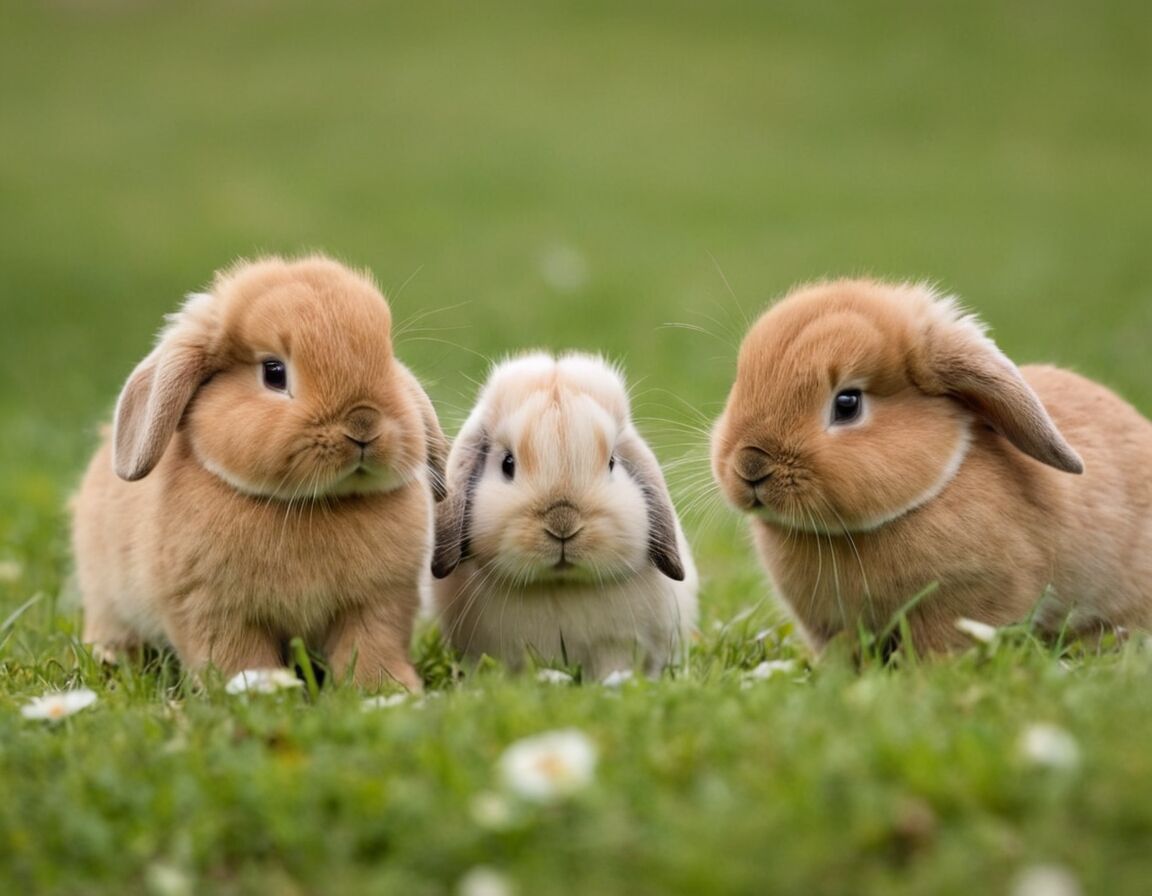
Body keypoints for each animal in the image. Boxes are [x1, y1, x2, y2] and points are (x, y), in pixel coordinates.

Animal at [71, 255, 449, 690]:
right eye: (274, 372)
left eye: (387, 360)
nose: (363, 424)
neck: (316, 505)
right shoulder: (215, 611)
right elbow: (237, 656)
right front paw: (255, 689)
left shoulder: (379, 603)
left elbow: (372, 648)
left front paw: (386, 690)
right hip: (105, 597)